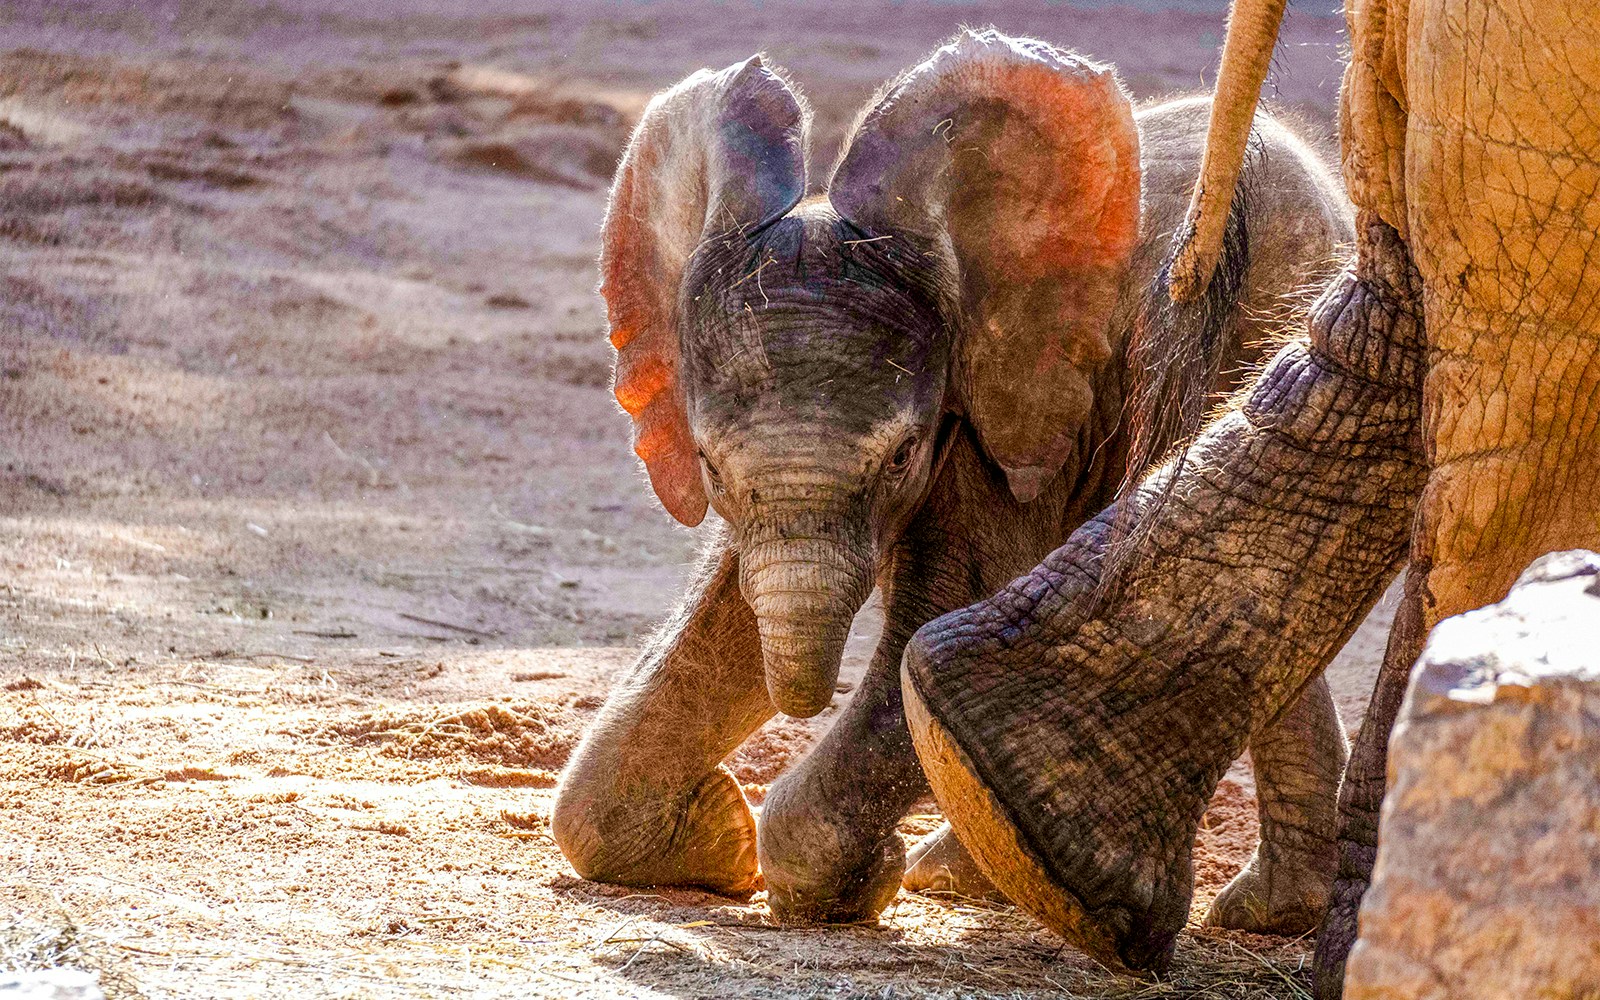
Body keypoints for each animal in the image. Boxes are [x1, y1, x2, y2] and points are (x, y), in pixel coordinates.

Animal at [551, 28, 1357, 929]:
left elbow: (949, 605)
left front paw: (850, 881)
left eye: (902, 455)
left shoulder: (1005, 407)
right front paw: (715, 848)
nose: (806, 703)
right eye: (710, 468)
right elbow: (725, 613)